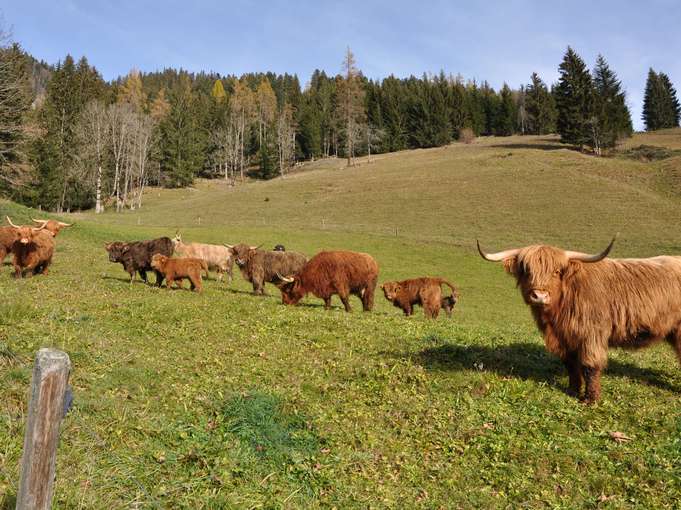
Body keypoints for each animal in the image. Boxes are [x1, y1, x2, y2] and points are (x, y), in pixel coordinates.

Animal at [476, 237, 680, 404]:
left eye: (557, 271)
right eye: (526, 270)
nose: (539, 296)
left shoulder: (592, 335)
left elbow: (590, 366)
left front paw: (590, 400)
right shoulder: (564, 338)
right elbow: (571, 365)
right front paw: (572, 390)